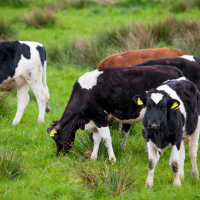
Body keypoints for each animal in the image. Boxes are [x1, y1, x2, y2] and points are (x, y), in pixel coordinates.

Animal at [46, 65, 183, 161]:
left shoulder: (100, 118)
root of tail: (173, 69)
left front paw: (112, 159)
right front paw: (93, 158)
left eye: (55, 138)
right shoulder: (95, 120)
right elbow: (96, 139)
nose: (59, 155)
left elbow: (106, 140)